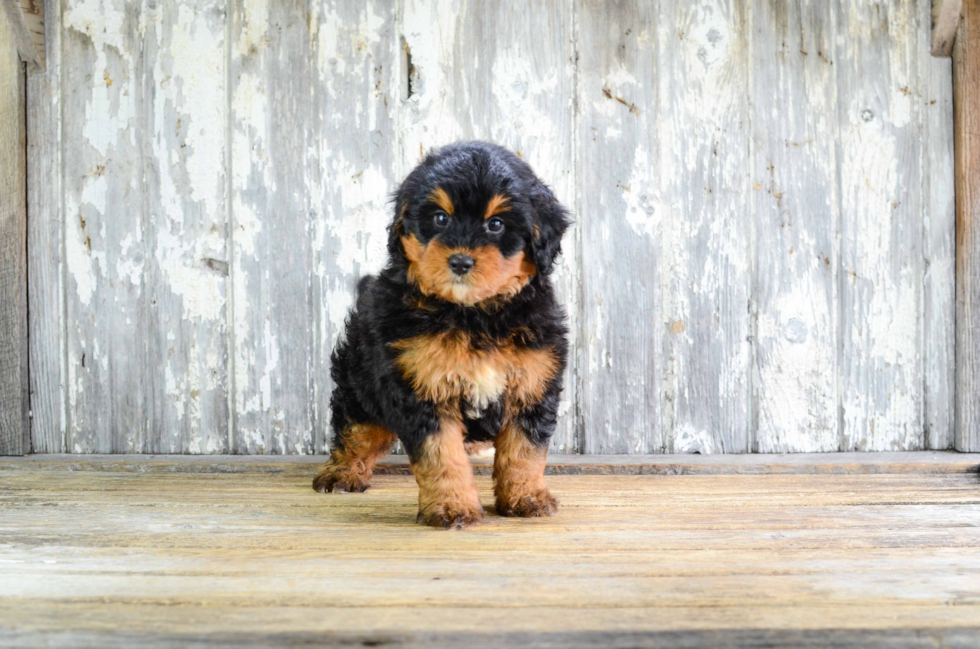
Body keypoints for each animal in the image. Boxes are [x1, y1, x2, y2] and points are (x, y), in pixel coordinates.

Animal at [314, 142, 572, 528]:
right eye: (440, 218)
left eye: (496, 224)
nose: (460, 262)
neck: (473, 314)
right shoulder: (423, 388)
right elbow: (441, 456)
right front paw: (452, 507)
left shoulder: (533, 382)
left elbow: (525, 450)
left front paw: (526, 497)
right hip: (360, 382)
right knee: (357, 430)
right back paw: (342, 472)